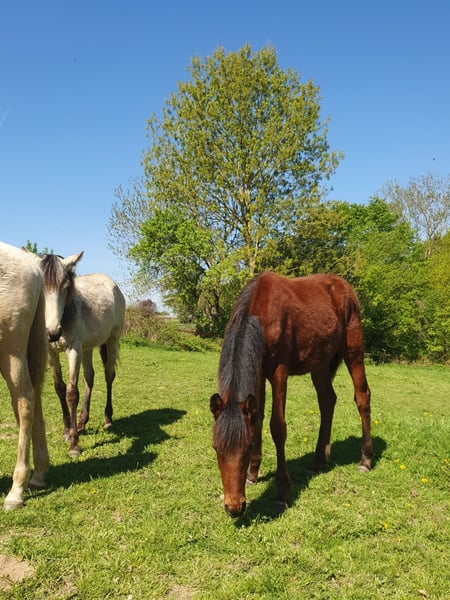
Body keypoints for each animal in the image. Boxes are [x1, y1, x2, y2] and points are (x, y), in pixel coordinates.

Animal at [27, 250, 126, 456]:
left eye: (65, 286)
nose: (52, 333)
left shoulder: (73, 350)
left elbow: (72, 393)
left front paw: (74, 445)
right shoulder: (51, 352)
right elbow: (60, 388)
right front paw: (67, 431)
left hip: (111, 341)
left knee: (109, 375)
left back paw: (107, 419)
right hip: (87, 348)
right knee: (90, 377)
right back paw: (81, 423)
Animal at [210, 271, 373, 517]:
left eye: (246, 448)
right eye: (216, 448)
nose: (234, 508)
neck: (261, 312)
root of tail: (343, 285)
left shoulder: (279, 372)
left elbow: (278, 427)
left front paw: (282, 494)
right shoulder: (258, 371)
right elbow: (257, 419)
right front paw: (253, 474)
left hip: (353, 349)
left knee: (362, 397)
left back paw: (366, 459)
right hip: (320, 363)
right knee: (327, 401)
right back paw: (318, 461)